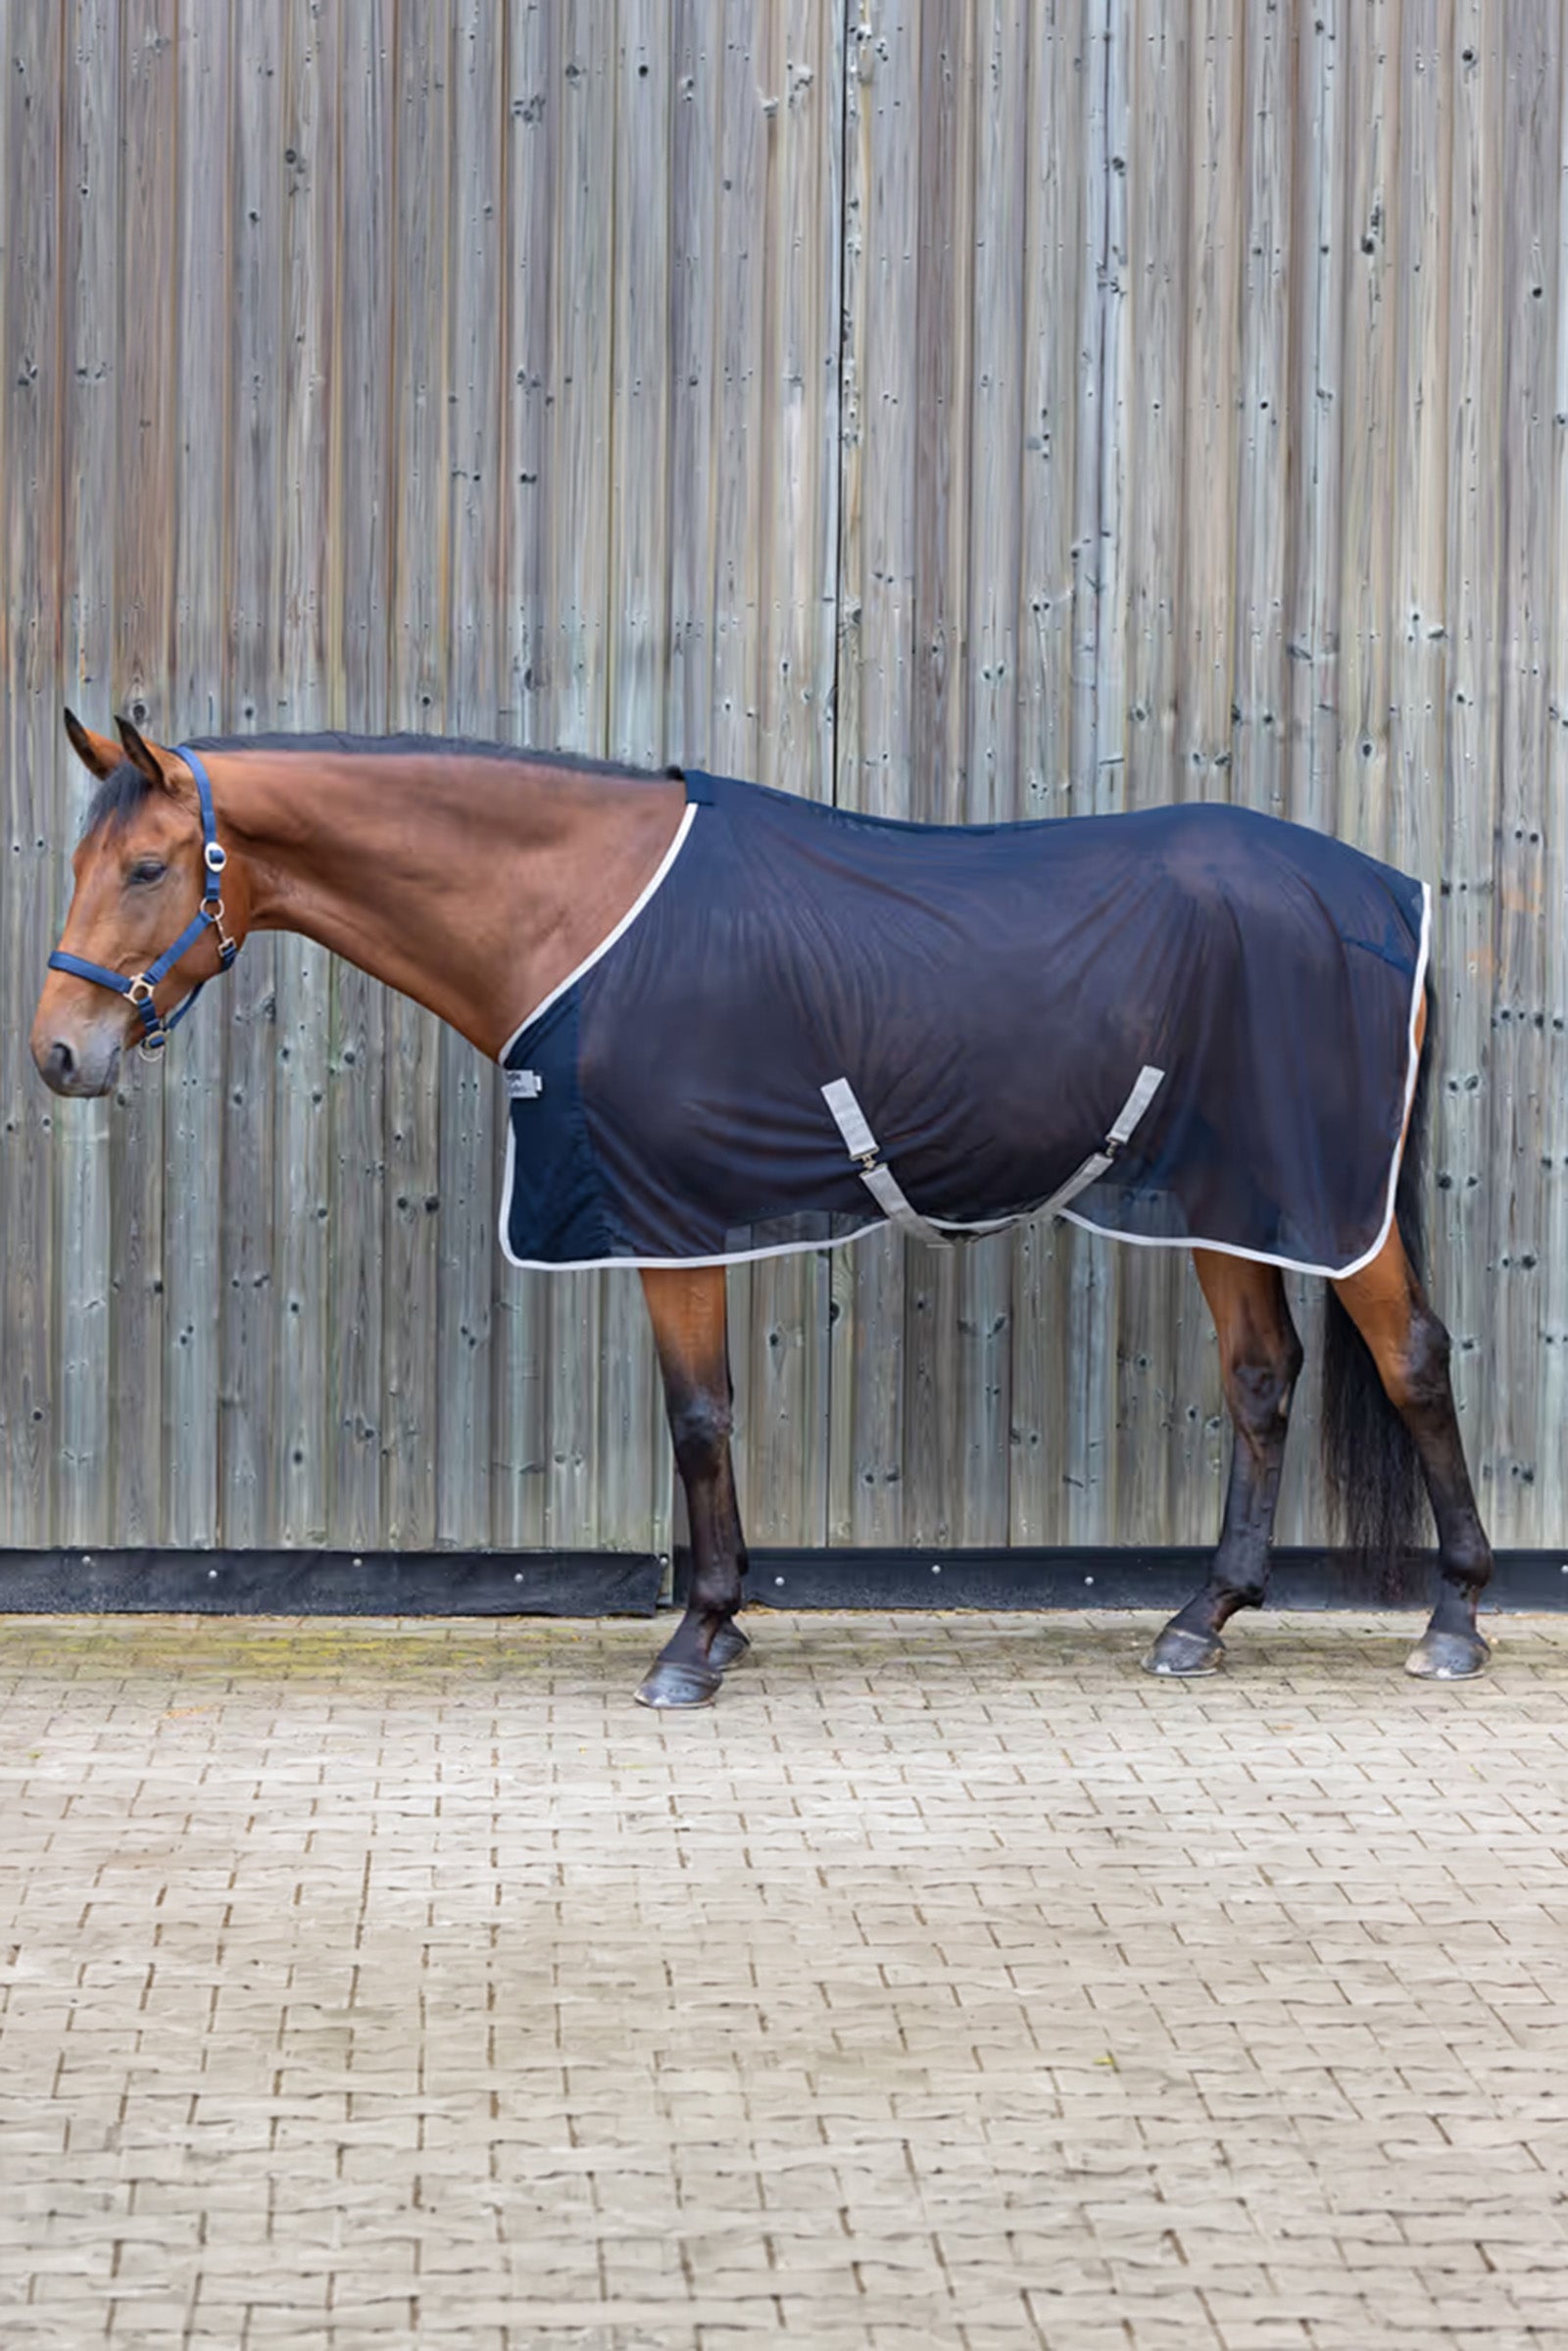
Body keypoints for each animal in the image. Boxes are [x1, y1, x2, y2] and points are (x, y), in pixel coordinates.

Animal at [31, 714, 1495, 1706]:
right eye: (83, 861)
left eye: (150, 867)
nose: (58, 1052)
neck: (582, 909)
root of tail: (1383, 897)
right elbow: (707, 1415)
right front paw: (723, 1621)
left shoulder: (672, 1213)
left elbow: (698, 1416)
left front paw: (698, 1637)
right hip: (1216, 1192)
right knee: (1262, 1374)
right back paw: (1202, 1617)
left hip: (1321, 1196)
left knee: (1412, 1354)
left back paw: (1456, 1619)